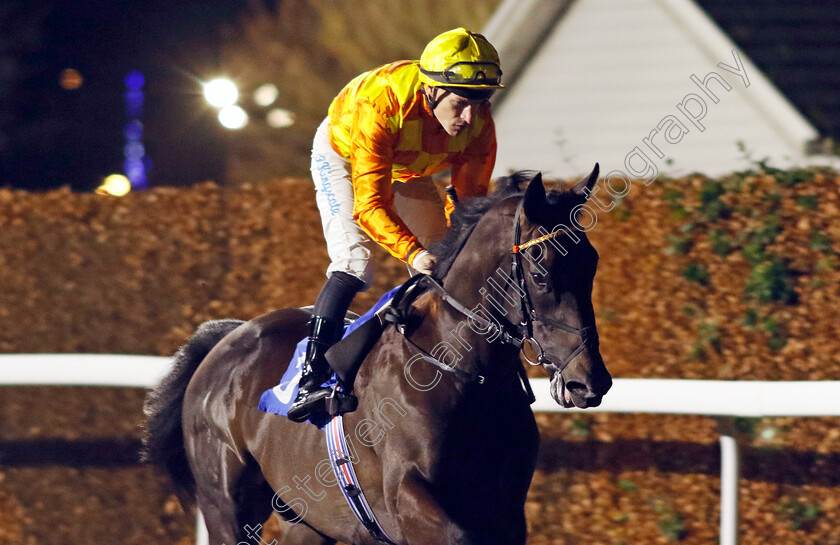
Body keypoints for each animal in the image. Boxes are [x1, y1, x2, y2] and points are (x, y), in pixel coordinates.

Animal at [144, 167, 612, 544]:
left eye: (592, 264)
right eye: (541, 272)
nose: (591, 381)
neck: (462, 372)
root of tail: (226, 338)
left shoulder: (505, 510)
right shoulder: (409, 499)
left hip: (306, 520)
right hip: (228, 508)